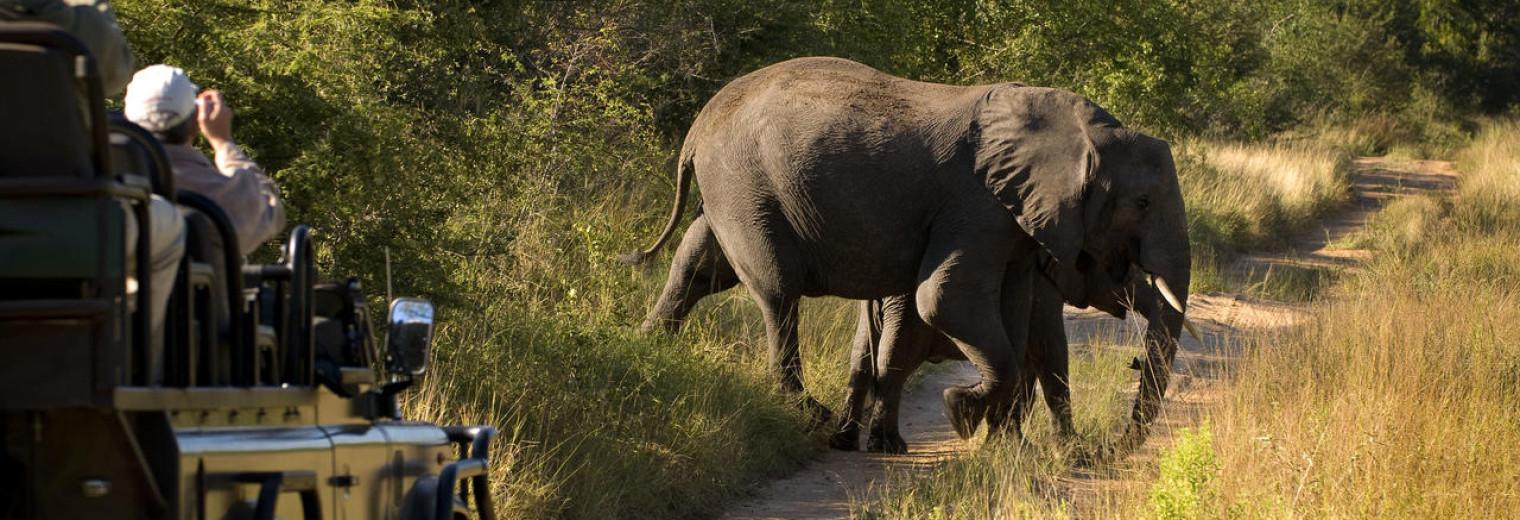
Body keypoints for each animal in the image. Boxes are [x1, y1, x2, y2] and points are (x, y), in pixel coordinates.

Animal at [623, 57, 1192, 437]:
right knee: (777, 291)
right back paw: (809, 413)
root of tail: (699, 123)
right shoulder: (979, 205)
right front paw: (960, 411)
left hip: (728, 190)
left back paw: (646, 347)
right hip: (746, 185)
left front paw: (998, 438)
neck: (1081, 130)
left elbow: (1010, 314)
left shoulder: (1013, 227)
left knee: (696, 267)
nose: (1114, 444)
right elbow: (944, 300)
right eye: (1142, 202)